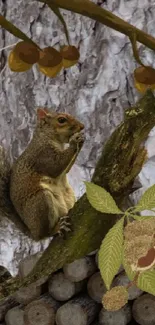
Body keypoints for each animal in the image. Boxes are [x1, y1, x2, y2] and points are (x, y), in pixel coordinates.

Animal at [7, 109, 85, 240]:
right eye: (61, 120)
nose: (82, 126)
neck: (45, 136)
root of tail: (32, 232)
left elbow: (66, 169)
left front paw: (82, 140)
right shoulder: (42, 154)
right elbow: (55, 166)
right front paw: (75, 141)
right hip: (41, 202)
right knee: (44, 234)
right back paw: (56, 228)